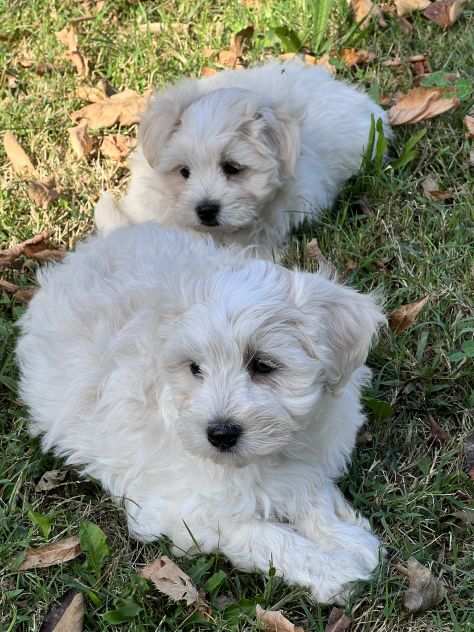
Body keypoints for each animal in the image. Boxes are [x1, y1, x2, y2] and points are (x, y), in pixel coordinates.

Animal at [17, 222, 386, 604]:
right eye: (195, 368)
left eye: (263, 365)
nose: (220, 434)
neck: (271, 455)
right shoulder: (187, 509)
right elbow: (264, 535)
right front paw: (330, 568)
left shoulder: (305, 460)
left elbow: (311, 495)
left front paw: (344, 539)